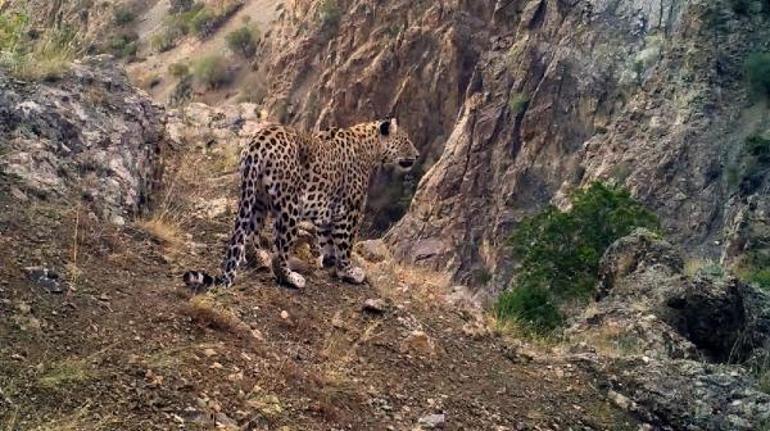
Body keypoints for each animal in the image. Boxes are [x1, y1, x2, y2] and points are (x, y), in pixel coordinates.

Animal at [182, 119, 416, 294]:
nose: (417, 155)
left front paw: (330, 263)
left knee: (249, 236)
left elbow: (327, 239)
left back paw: (259, 259)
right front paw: (349, 271)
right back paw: (292, 278)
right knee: (280, 252)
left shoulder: (328, 211)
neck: (370, 147)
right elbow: (345, 244)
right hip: (290, 207)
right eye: (406, 140)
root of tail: (259, 141)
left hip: (256, 199)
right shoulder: (349, 211)